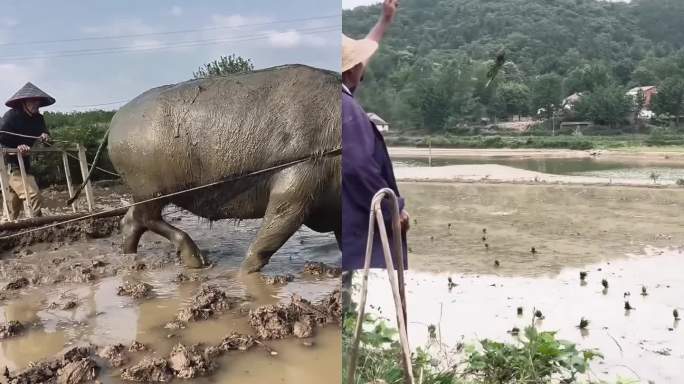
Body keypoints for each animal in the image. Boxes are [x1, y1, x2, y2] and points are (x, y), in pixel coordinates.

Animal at [108, 64, 340, 272]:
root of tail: (116, 120)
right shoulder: (296, 185)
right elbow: (268, 238)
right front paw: (243, 273)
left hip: (145, 192)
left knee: (131, 221)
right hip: (149, 189)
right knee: (146, 218)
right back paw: (196, 261)